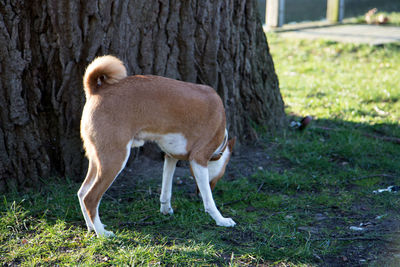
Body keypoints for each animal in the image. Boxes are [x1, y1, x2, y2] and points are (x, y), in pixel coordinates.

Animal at [77, 55, 238, 238]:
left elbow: (166, 190)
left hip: (98, 160)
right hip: (114, 160)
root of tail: (96, 90)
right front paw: (221, 220)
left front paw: (166, 210)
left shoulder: (170, 158)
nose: (196, 194)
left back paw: (92, 228)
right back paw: (103, 233)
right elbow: (209, 201)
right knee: (90, 198)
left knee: (82, 193)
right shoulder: (198, 160)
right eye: (216, 180)